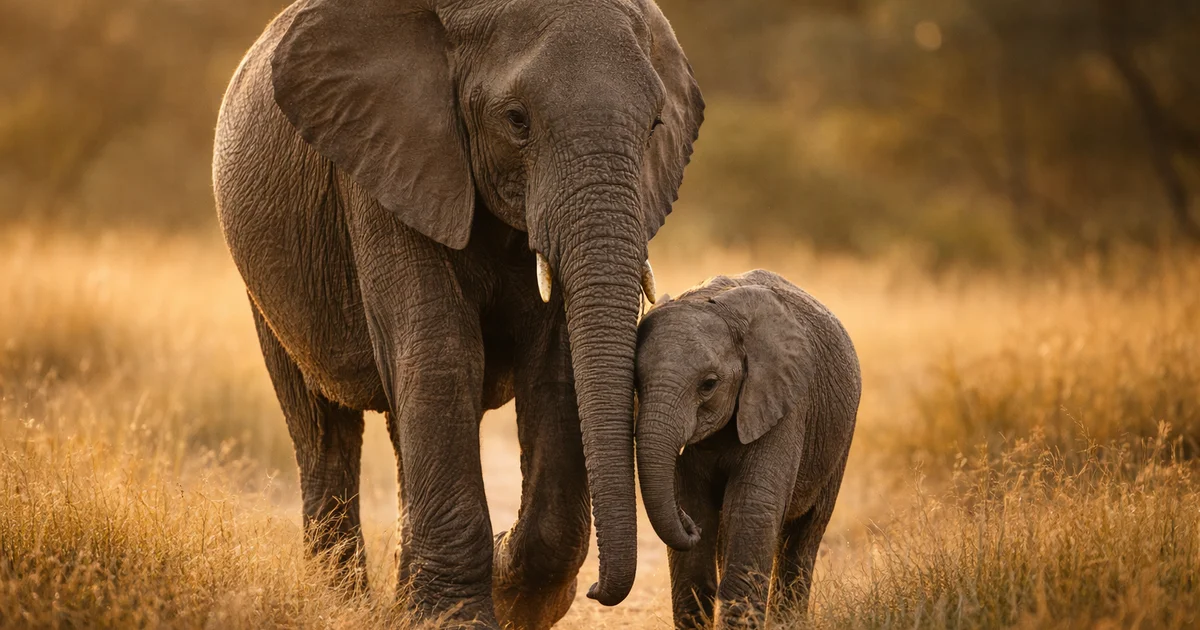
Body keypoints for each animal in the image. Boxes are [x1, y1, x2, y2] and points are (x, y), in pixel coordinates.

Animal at [211, 0, 703, 626]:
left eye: (656, 126)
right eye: (517, 120)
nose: (599, 592)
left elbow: (557, 366)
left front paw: (508, 591)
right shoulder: (386, 157)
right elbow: (440, 354)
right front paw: (460, 615)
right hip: (264, 283)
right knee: (322, 430)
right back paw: (343, 604)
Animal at [633, 270, 860, 628]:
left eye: (709, 384)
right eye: (636, 384)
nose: (688, 526)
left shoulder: (784, 401)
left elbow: (753, 505)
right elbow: (694, 503)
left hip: (839, 440)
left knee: (805, 534)